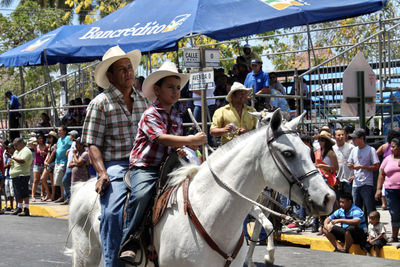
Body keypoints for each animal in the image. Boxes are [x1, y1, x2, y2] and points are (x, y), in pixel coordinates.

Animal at [68, 110, 334, 266]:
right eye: (288, 153)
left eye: (309, 150)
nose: (328, 198)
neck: (211, 213)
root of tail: (83, 186)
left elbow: (264, 226)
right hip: (85, 254)